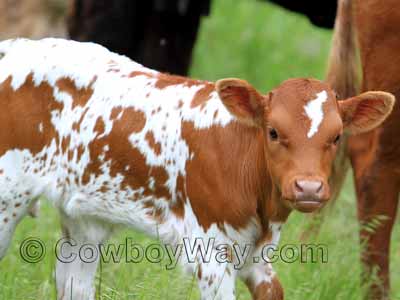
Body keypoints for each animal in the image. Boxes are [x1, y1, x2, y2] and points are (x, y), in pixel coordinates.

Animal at [0, 38, 396, 298]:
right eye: (273, 131)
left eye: (337, 136)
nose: (309, 188)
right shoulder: (210, 254)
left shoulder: (259, 258)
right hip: (8, 198)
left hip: (83, 217)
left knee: (73, 282)